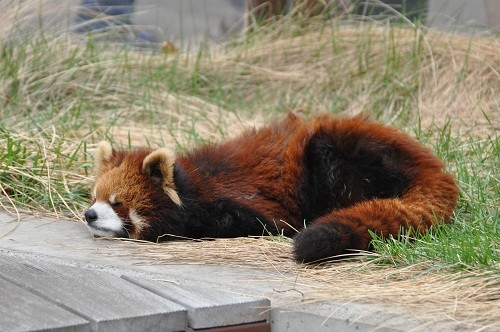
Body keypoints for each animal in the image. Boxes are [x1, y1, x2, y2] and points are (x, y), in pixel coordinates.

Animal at [85, 113, 458, 264]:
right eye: (96, 198)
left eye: (118, 203)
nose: (89, 215)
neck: (193, 184)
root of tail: (428, 164)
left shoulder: (242, 203)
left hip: (342, 155)